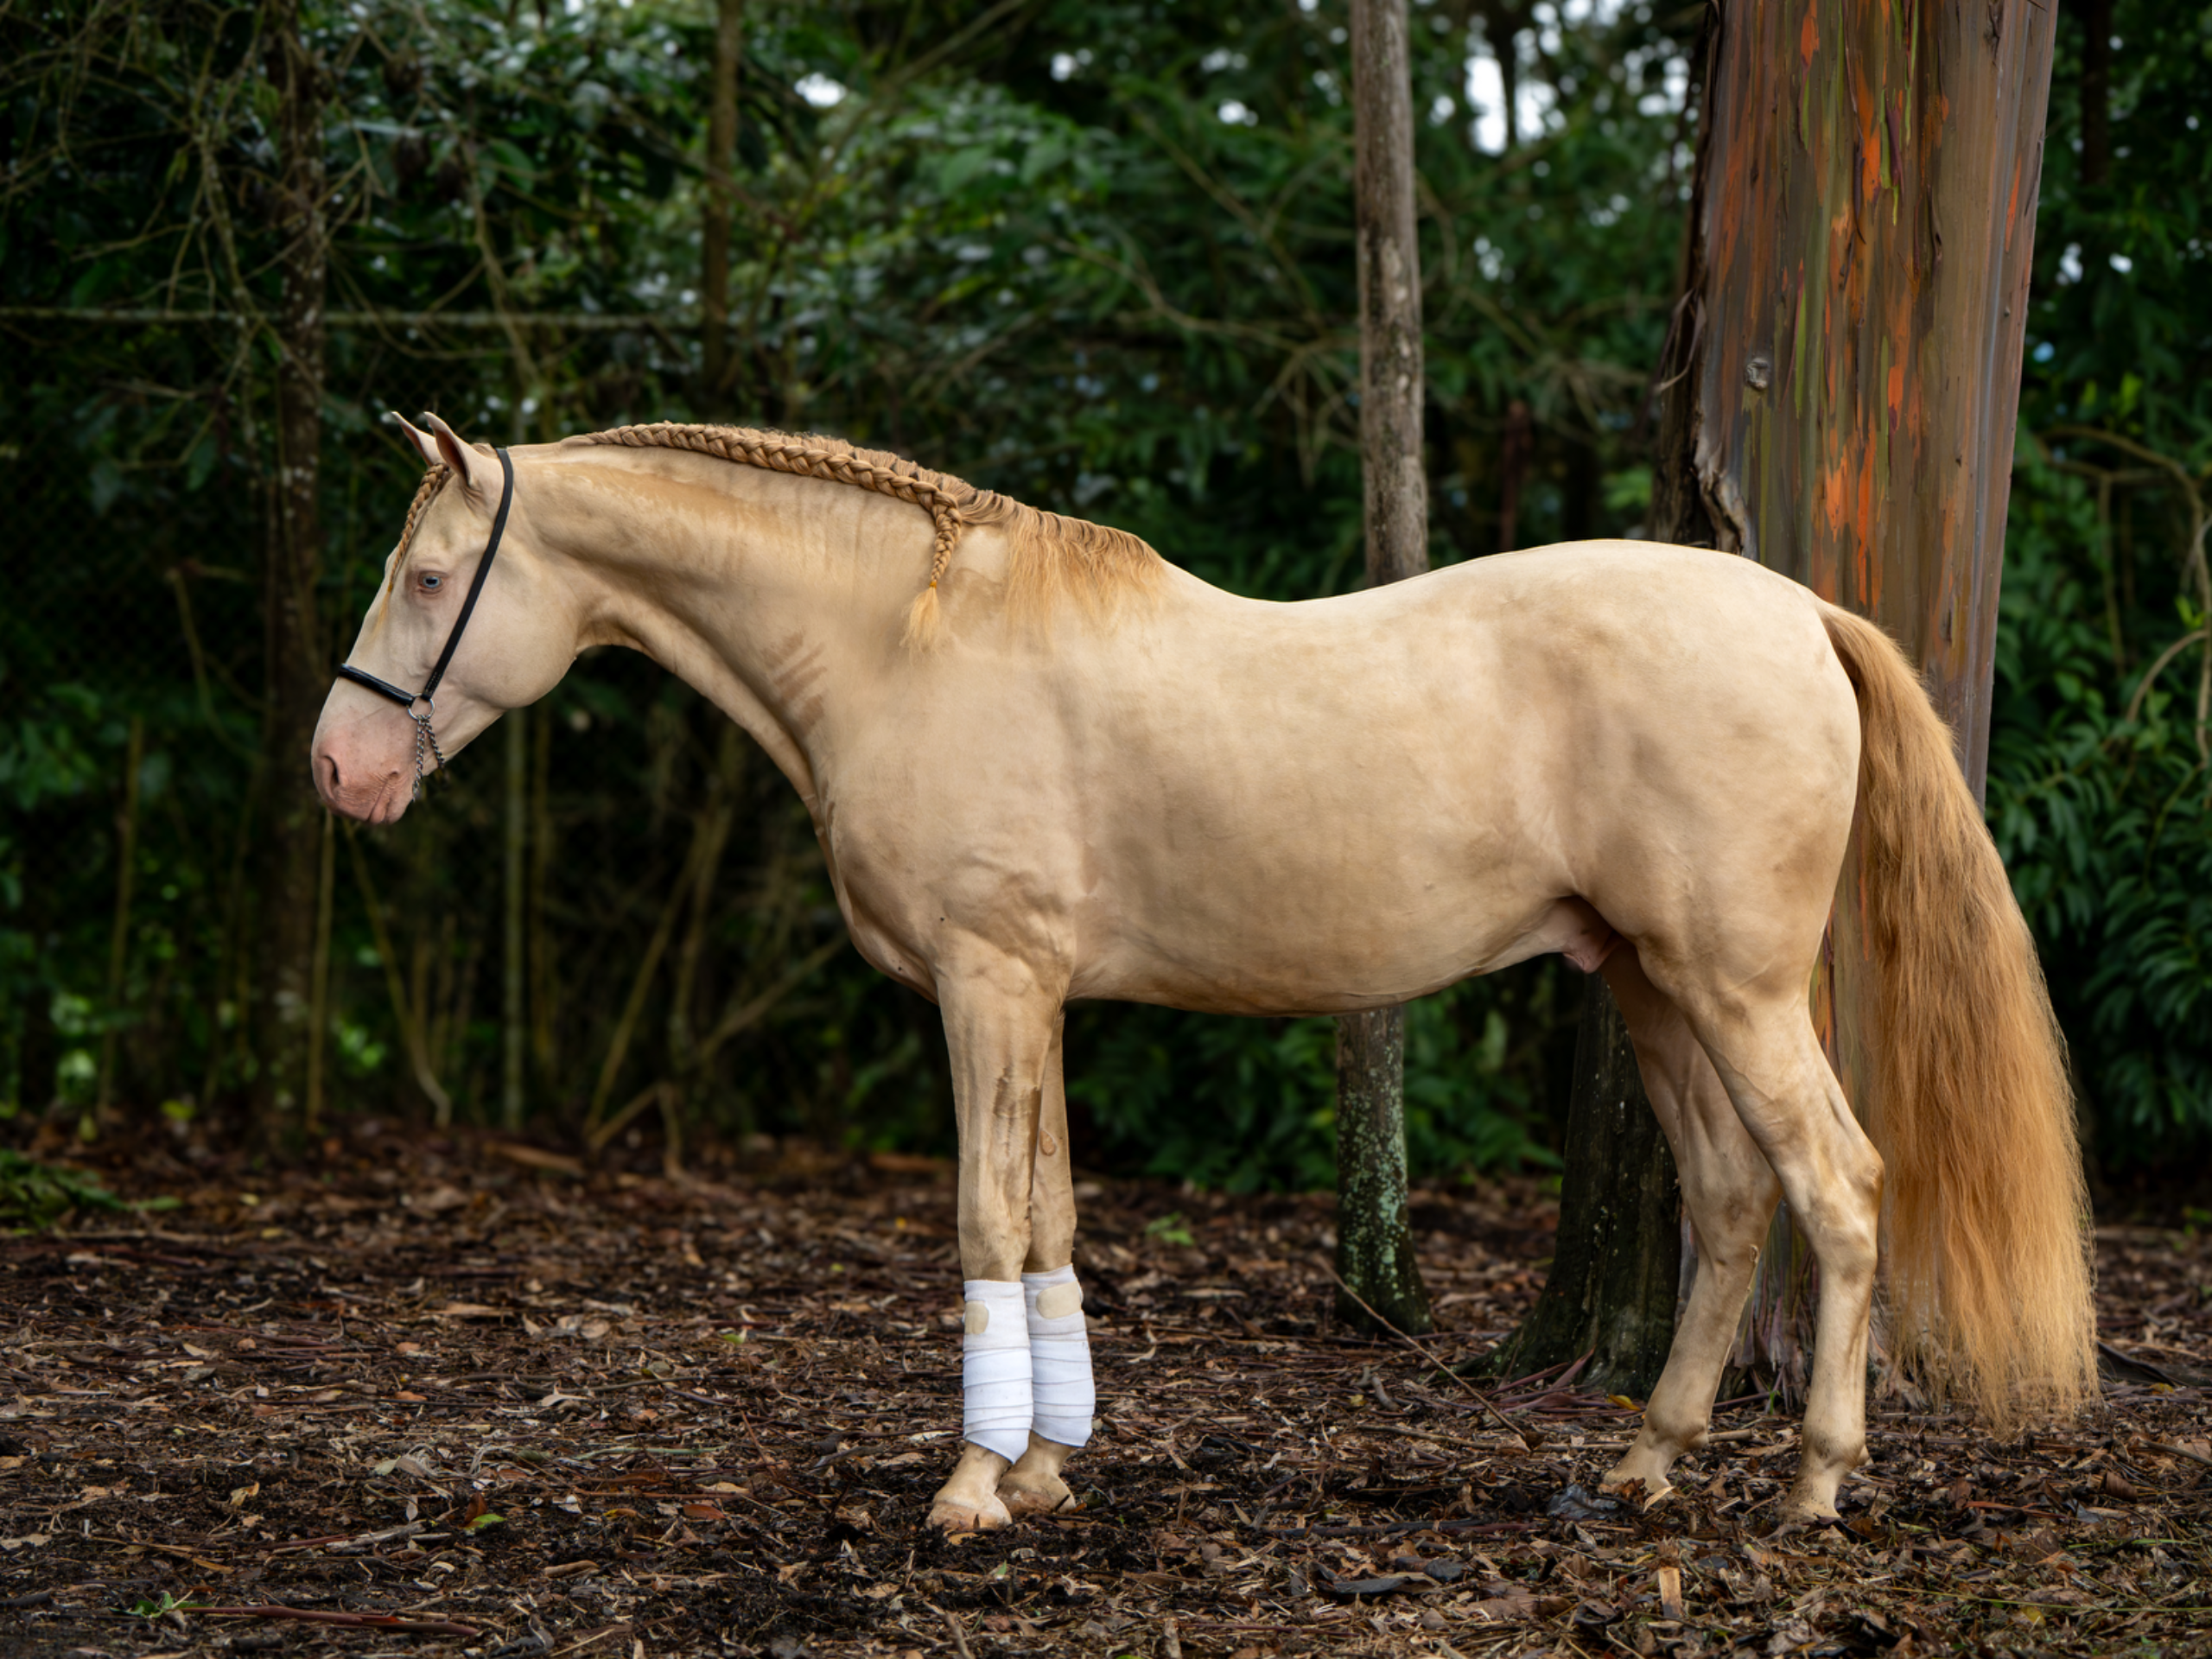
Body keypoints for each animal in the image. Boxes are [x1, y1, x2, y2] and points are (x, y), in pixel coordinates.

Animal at [312, 412, 2096, 1532]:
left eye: (424, 577)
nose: (341, 770)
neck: (906, 644)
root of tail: (1797, 609)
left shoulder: (985, 983)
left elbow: (987, 1219)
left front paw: (971, 1494)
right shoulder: (1030, 996)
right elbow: (1048, 1219)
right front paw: (1045, 1472)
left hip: (1734, 987)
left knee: (1839, 1188)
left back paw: (1814, 1483)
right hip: (1651, 984)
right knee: (1729, 1201)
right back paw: (1647, 1467)